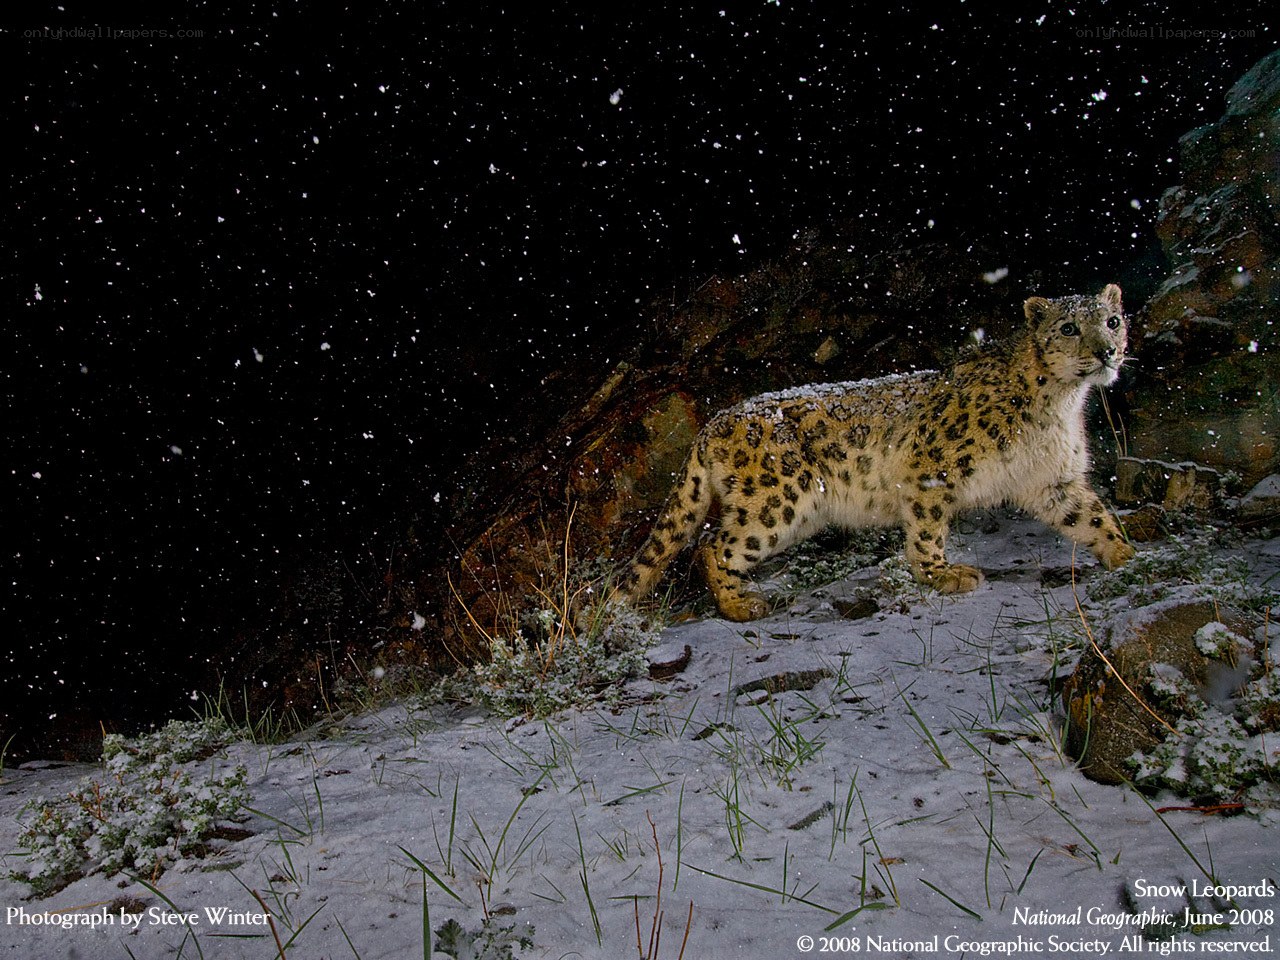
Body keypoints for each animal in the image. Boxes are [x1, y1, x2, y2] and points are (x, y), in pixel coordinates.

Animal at [614, 283, 1135, 621]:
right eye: (1068, 328)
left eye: (1112, 321)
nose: (1107, 351)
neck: (1060, 403)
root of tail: (715, 421)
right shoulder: (930, 469)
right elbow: (926, 530)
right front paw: (941, 574)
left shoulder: (1051, 480)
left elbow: (1092, 516)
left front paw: (1128, 555)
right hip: (778, 502)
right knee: (711, 546)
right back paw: (741, 605)